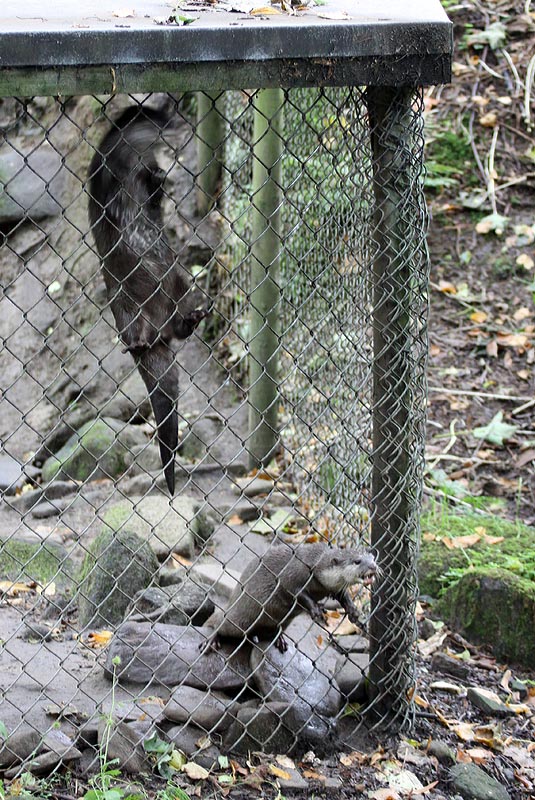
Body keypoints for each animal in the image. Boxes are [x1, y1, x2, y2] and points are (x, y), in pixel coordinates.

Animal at [87, 105, 208, 495]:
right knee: (144, 330)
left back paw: (191, 320)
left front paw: (158, 178)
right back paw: (138, 343)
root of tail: (154, 332)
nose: (179, 123)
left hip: (178, 283)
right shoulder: (108, 177)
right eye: (161, 117)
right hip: (128, 303)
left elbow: (152, 196)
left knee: (178, 327)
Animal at [201, 543, 377, 652]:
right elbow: (296, 592)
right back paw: (211, 640)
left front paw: (353, 610)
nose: (373, 566)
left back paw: (279, 639)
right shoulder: (292, 574)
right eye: (357, 561)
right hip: (239, 619)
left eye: (372, 558)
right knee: (220, 623)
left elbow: (342, 595)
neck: (314, 565)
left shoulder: (333, 587)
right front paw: (315, 609)